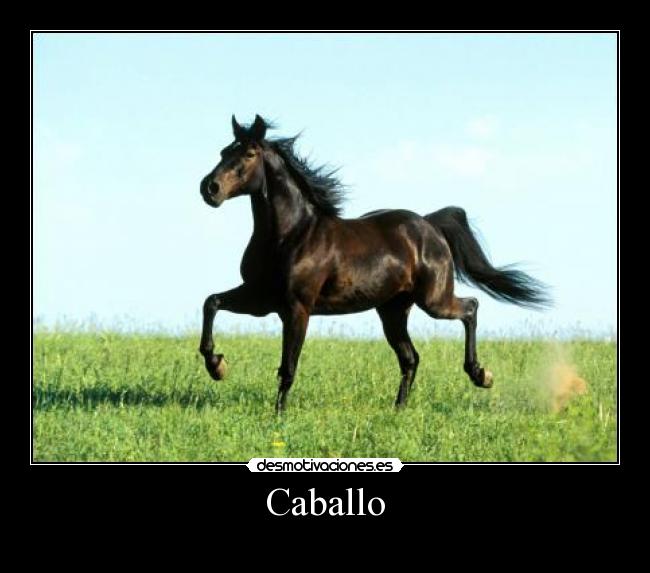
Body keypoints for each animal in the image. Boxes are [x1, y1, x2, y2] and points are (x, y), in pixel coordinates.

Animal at [199, 115, 550, 413]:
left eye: (249, 154)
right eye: (224, 151)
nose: (209, 188)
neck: (291, 235)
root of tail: (430, 224)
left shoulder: (296, 307)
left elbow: (288, 366)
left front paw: (279, 415)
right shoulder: (261, 298)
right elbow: (211, 302)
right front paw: (217, 366)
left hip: (434, 301)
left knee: (470, 308)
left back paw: (481, 375)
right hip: (393, 310)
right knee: (411, 358)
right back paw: (399, 409)